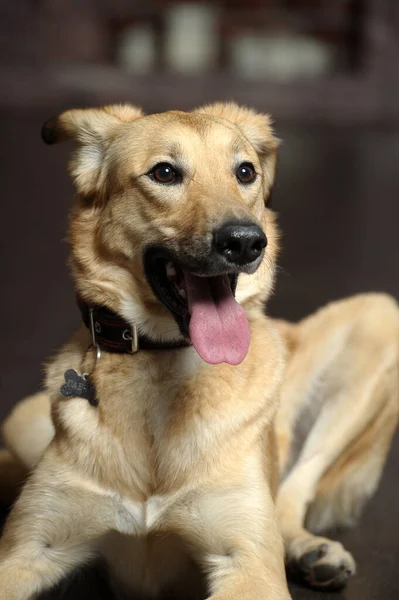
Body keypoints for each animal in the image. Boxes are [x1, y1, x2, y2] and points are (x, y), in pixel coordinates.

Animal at [0, 103, 398, 600]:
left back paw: (309, 549)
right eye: (165, 172)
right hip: (21, 420)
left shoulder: (248, 566)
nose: (245, 241)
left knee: (289, 496)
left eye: (245, 172)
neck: (162, 365)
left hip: (379, 317)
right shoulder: (26, 550)